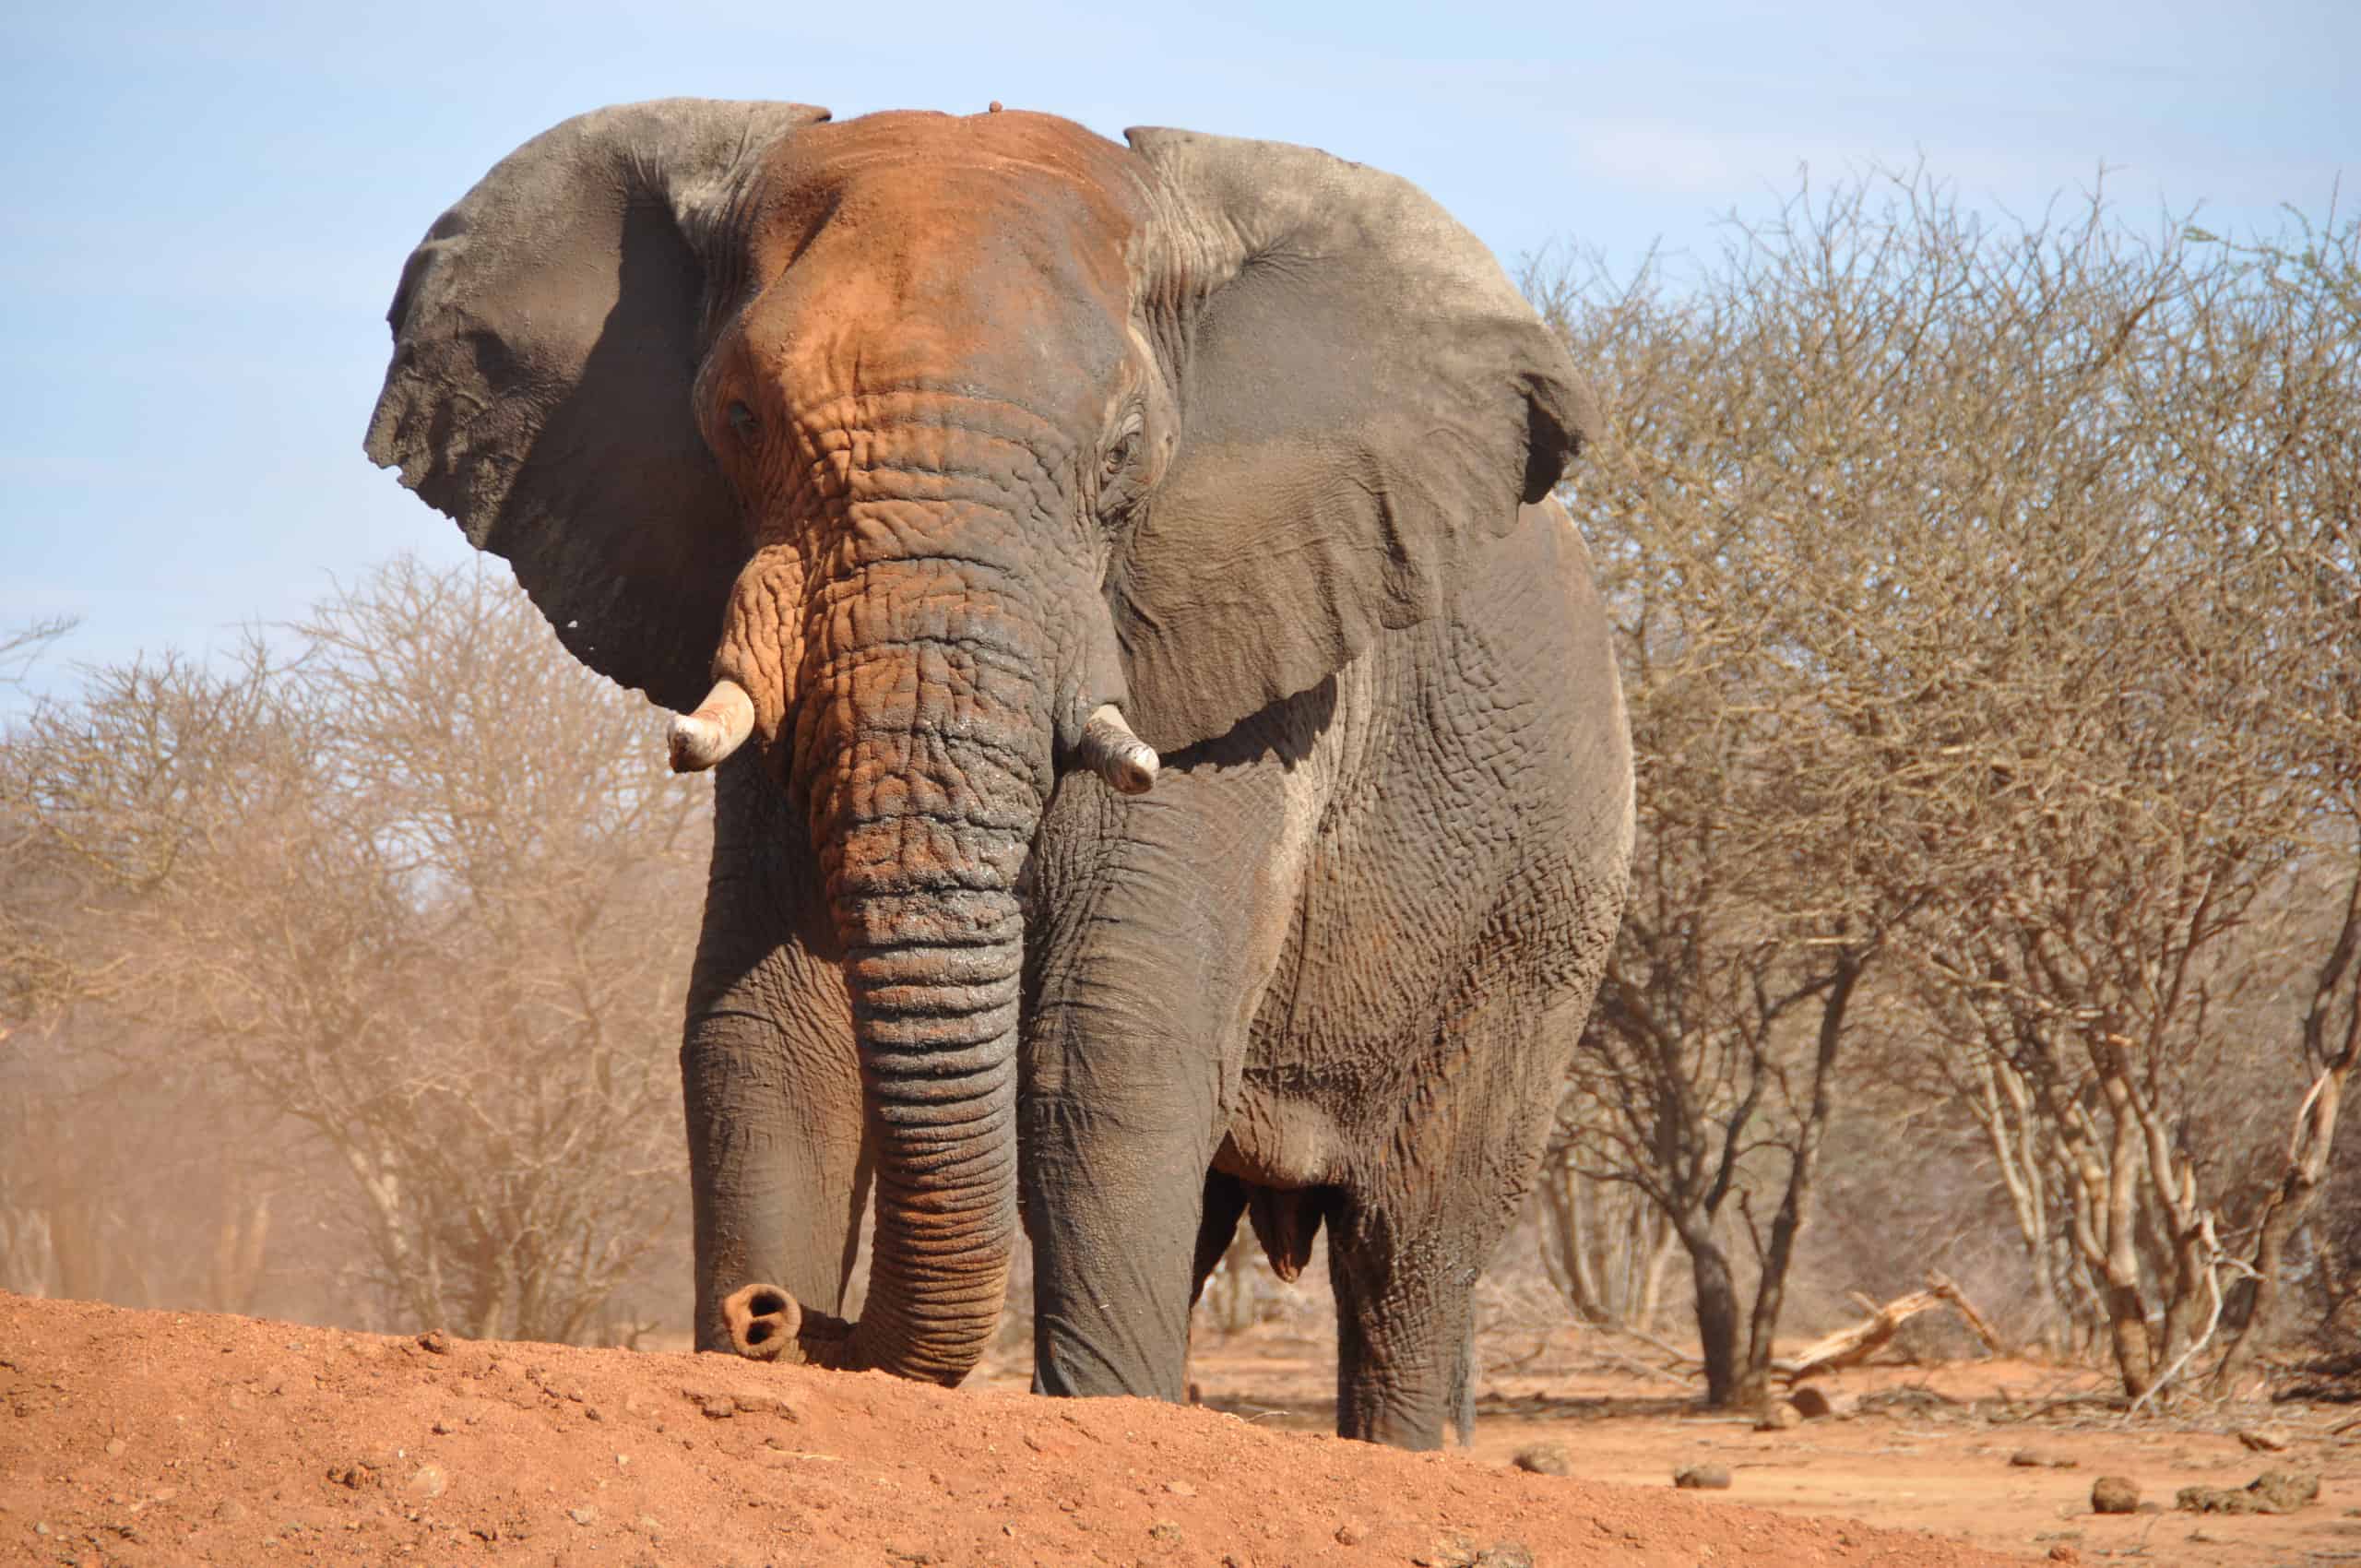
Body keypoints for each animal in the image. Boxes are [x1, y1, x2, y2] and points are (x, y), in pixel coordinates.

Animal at [363, 95, 1624, 1444]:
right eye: (738, 420)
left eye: (1124, 453)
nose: (775, 1317)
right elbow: (766, 1028)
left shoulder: (1243, 656)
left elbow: (1107, 1043)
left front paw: (1108, 1422)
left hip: (1542, 912)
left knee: (1410, 1239)